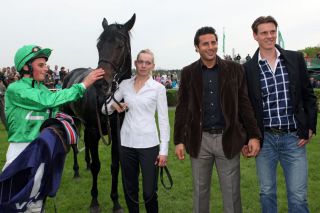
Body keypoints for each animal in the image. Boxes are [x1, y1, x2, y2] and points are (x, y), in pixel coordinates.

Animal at [61, 13, 135, 213]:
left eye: (120, 45)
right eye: (98, 46)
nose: (101, 83)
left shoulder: (116, 133)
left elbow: (115, 166)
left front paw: (116, 202)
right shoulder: (94, 130)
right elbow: (97, 166)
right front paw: (94, 201)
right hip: (74, 120)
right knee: (75, 146)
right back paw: (77, 170)